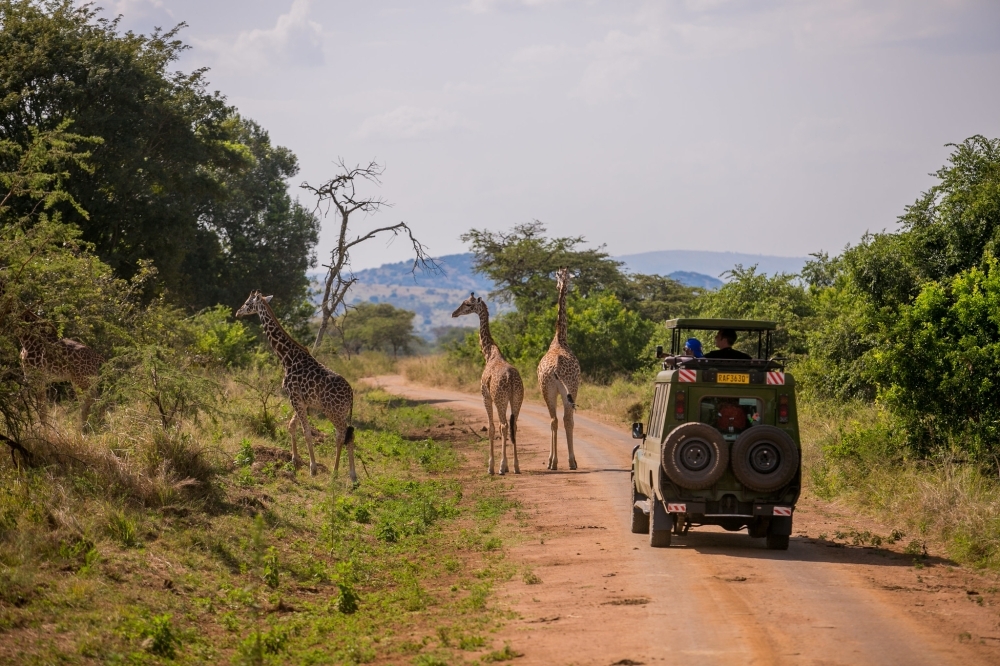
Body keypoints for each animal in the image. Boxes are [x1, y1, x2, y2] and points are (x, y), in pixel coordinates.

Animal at [236, 288, 358, 480]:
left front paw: (313, 468)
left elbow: (306, 433)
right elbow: (291, 426)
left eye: (248, 303)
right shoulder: (302, 400)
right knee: (345, 435)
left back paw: (342, 474)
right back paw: (346, 475)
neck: (287, 358)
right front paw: (294, 460)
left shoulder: (294, 397)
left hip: (333, 411)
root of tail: (351, 394)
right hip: (341, 412)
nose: (237, 312)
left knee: (344, 435)